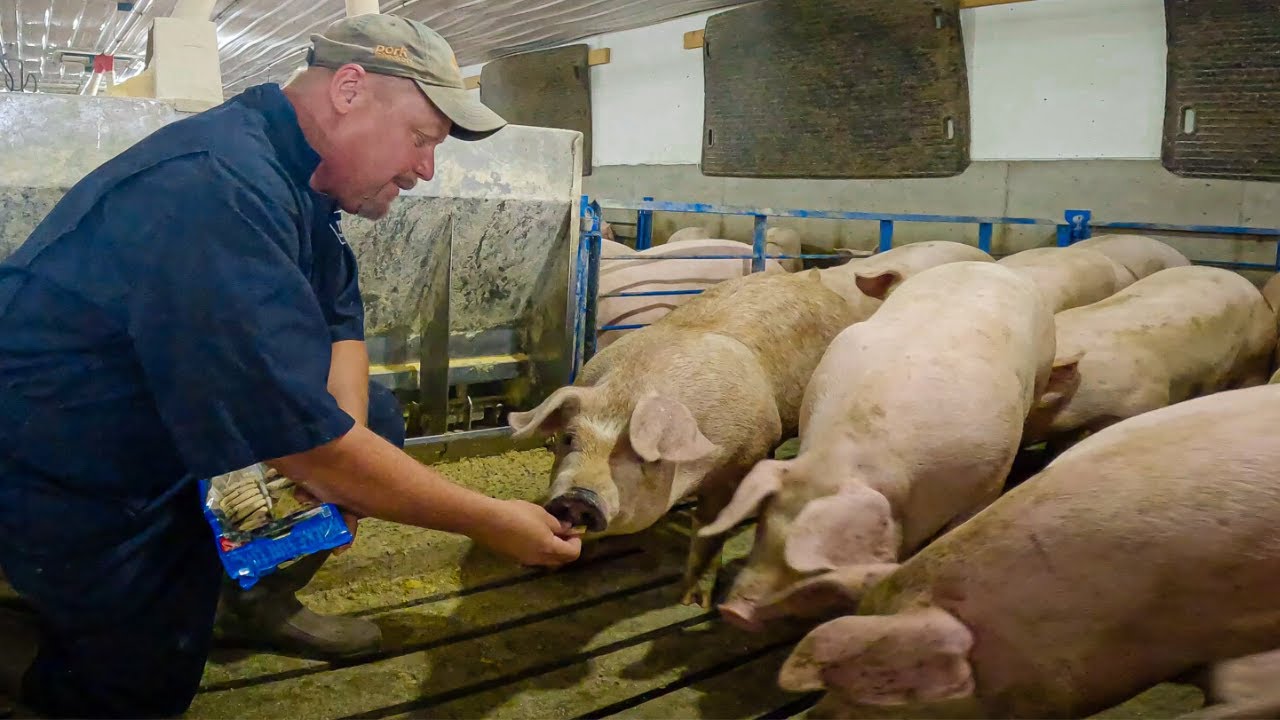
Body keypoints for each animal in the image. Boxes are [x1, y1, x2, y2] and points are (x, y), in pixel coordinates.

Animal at [511, 269, 858, 606]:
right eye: (569, 439)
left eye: (644, 456)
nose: (578, 497)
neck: (629, 391)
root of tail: (809, 278)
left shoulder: (738, 461)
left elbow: (708, 530)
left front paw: (694, 602)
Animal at [698, 262, 1065, 632]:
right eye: (763, 524)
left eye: (814, 565)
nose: (732, 611)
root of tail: (987, 264)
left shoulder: (989, 479)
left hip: (1043, 364)